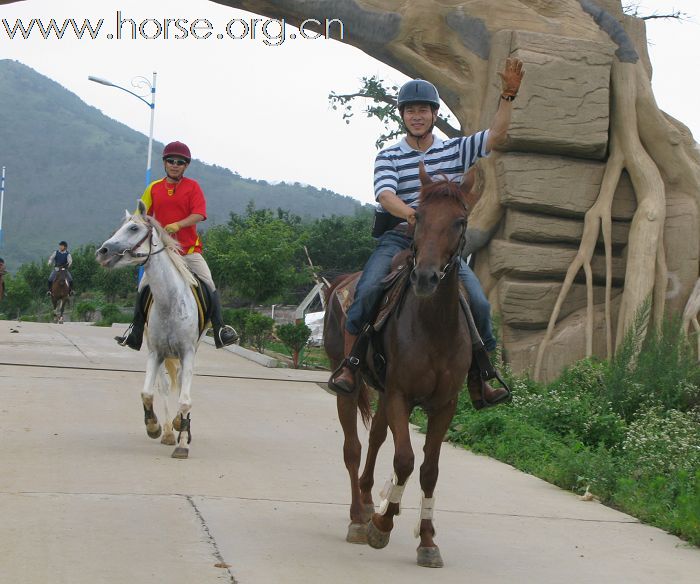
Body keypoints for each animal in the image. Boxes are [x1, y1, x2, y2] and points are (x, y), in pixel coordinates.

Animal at [95, 203, 202, 458]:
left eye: (133, 228)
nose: (102, 252)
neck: (170, 301)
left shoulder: (188, 352)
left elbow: (185, 399)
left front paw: (183, 444)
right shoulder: (155, 353)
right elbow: (147, 392)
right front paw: (153, 426)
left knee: (181, 384)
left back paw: (181, 427)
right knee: (164, 386)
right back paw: (169, 432)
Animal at [326, 167, 478, 568]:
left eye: (459, 221)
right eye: (418, 216)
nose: (424, 277)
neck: (434, 325)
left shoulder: (444, 404)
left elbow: (428, 470)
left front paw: (426, 540)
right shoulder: (400, 394)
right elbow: (405, 460)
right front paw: (382, 525)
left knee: (376, 438)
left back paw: (367, 501)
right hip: (348, 381)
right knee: (353, 447)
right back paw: (358, 517)